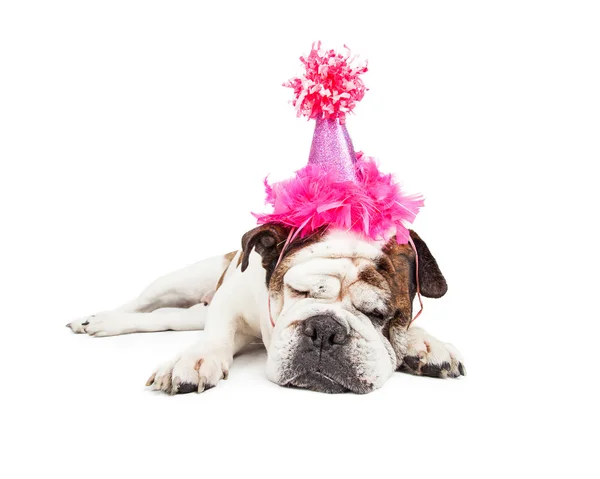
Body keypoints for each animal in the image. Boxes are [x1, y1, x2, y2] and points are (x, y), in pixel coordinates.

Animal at [68, 224, 466, 394]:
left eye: (380, 315)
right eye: (297, 290)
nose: (325, 329)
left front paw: (425, 344)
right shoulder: (230, 299)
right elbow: (216, 335)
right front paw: (196, 360)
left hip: (187, 313)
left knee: (165, 318)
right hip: (179, 281)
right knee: (143, 303)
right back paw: (96, 319)